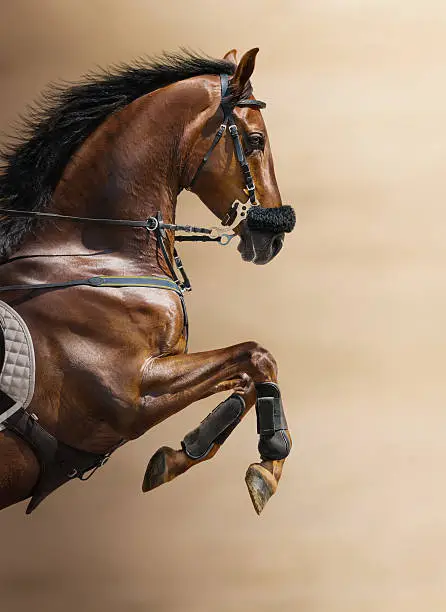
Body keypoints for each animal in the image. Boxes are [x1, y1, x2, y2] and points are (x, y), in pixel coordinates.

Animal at [0, 49, 294, 516]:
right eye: (255, 141)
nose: (274, 237)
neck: (95, 257)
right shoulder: (134, 394)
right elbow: (257, 356)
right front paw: (268, 465)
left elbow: (248, 372)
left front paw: (182, 452)